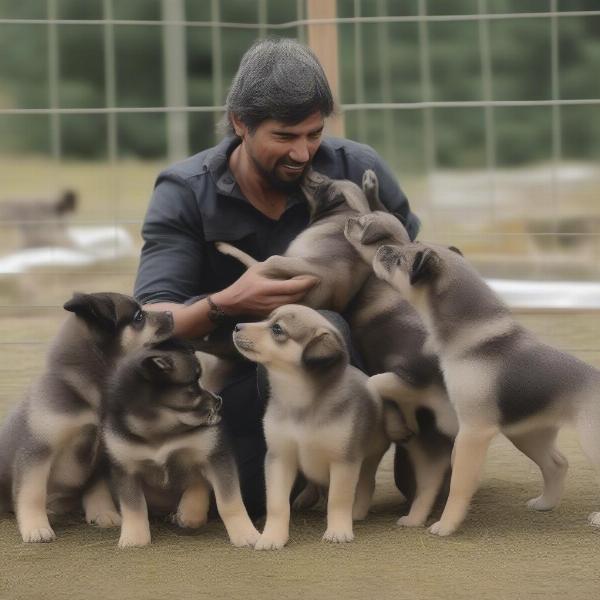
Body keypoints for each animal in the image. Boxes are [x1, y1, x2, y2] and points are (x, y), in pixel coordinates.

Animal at [0, 292, 175, 544]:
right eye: (138, 317)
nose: (171, 313)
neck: (92, 401)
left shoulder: (101, 458)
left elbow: (97, 489)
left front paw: (104, 513)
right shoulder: (38, 452)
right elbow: (32, 493)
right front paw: (36, 527)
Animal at [101, 340, 260, 548]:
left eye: (201, 380)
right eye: (193, 386)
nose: (219, 400)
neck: (160, 431)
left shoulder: (215, 455)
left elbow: (229, 501)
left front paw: (245, 534)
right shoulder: (126, 469)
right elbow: (133, 506)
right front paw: (134, 538)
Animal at [230, 304, 390, 548]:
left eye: (277, 329)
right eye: (267, 319)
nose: (237, 326)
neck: (298, 400)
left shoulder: (343, 461)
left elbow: (338, 499)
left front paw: (338, 530)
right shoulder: (279, 458)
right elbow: (277, 504)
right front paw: (272, 536)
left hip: (371, 455)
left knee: (365, 482)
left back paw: (357, 510)